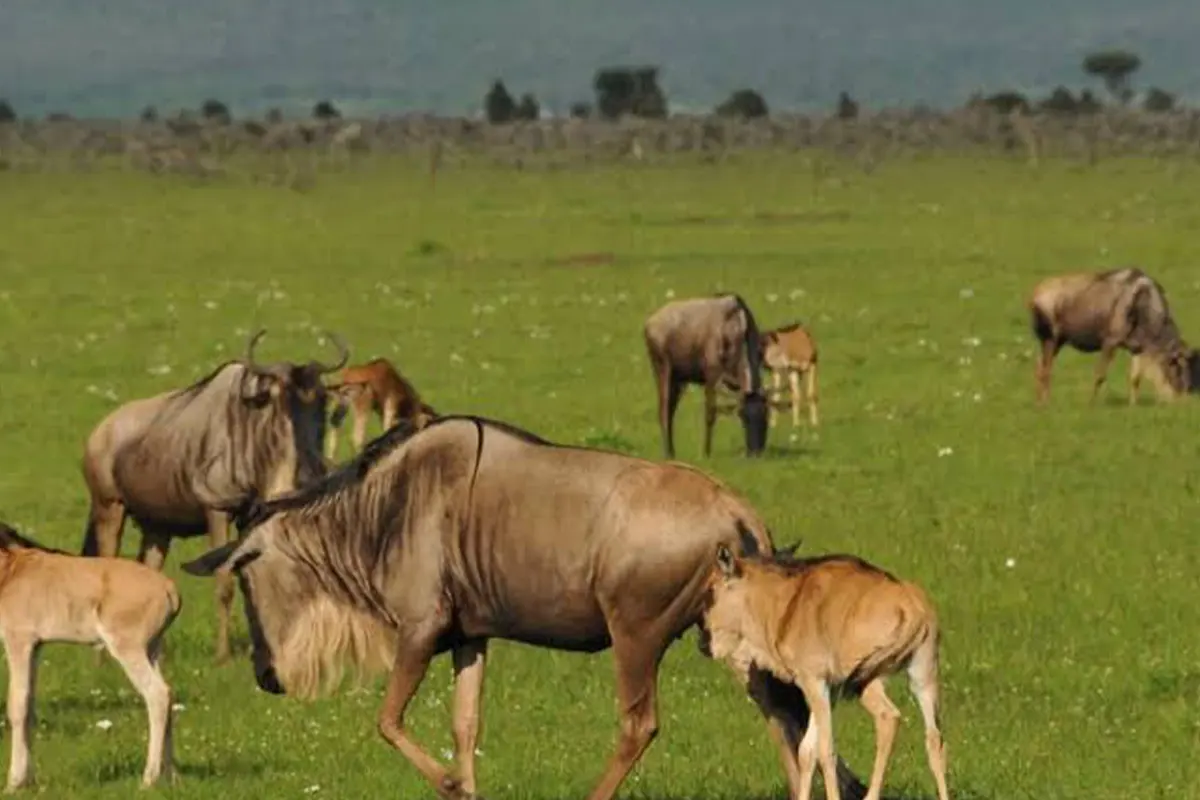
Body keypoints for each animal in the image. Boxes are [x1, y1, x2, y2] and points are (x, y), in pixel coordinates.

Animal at [0, 522, 180, 791]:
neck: (11, 569)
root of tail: (169, 588)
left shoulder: (18, 640)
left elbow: (17, 704)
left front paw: (14, 783)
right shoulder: (36, 646)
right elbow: (30, 703)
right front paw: (29, 779)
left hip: (128, 647)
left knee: (157, 694)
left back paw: (149, 779)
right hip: (152, 648)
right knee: (168, 693)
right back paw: (171, 776)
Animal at [701, 545, 948, 800]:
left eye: (711, 591)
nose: (703, 645)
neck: (785, 603)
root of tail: (911, 607)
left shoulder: (815, 681)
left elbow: (824, 750)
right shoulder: (828, 690)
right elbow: (806, 750)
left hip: (866, 680)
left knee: (888, 717)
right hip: (922, 675)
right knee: (933, 739)